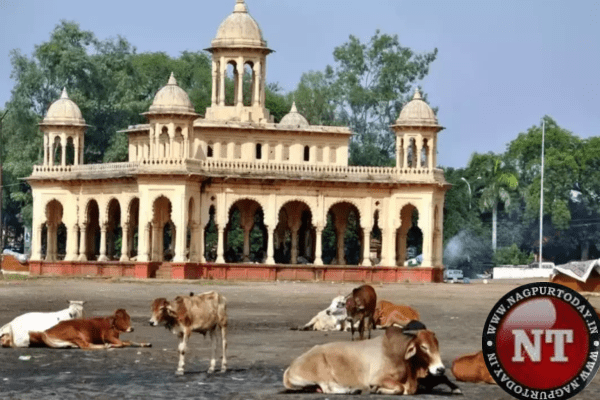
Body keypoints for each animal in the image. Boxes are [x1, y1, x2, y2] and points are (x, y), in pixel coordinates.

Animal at [284, 320, 458, 396]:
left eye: (437, 346)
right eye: (424, 347)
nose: (440, 369)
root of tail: (290, 368)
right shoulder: (377, 378)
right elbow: (400, 388)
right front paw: (378, 389)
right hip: (322, 371)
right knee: (327, 388)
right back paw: (352, 390)